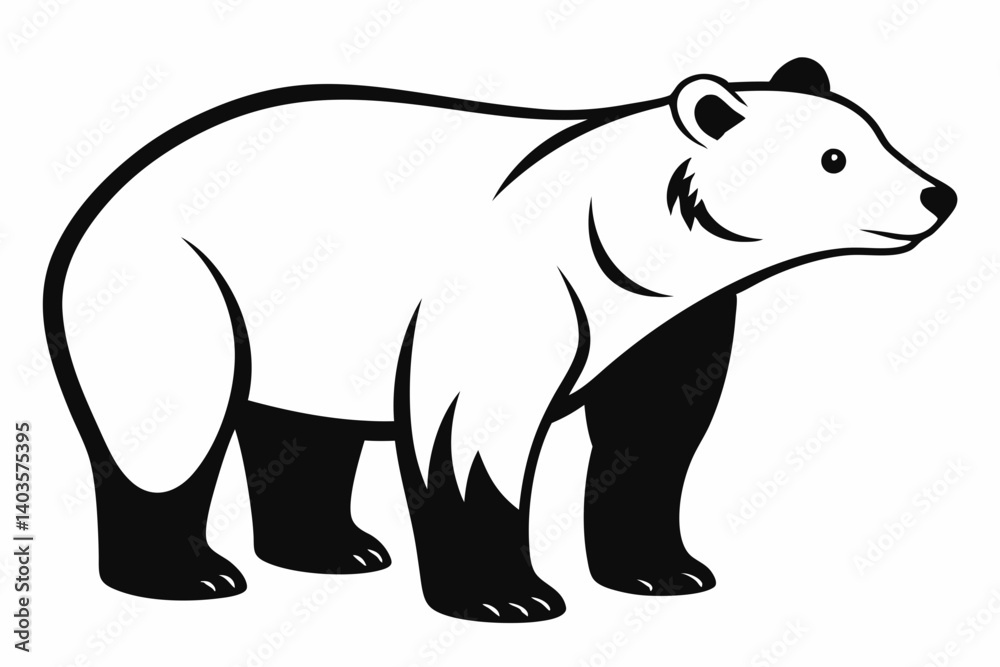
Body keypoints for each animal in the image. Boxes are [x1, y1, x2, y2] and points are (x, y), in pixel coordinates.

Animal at [43, 57, 956, 623]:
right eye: (834, 157)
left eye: (877, 133)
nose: (938, 195)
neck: (628, 242)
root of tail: (96, 202)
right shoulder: (511, 292)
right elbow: (475, 436)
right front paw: (510, 596)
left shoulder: (670, 317)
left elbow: (654, 434)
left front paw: (665, 569)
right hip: (189, 285)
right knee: (172, 429)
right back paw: (190, 572)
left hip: (303, 323)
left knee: (303, 430)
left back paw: (337, 548)